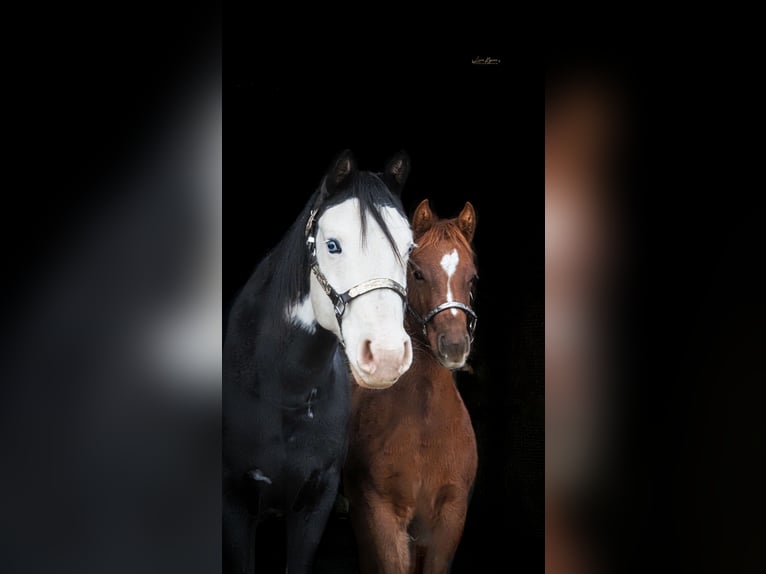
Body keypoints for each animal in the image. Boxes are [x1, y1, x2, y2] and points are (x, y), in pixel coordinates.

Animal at [223, 149, 417, 573]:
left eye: (410, 249)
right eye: (332, 245)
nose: (387, 356)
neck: (283, 394)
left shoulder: (316, 503)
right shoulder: (235, 504)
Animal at [344, 199, 479, 574]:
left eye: (472, 277)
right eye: (417, 272)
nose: (454, 345)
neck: (425, 426)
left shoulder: (449, 518)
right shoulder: (381, 514)